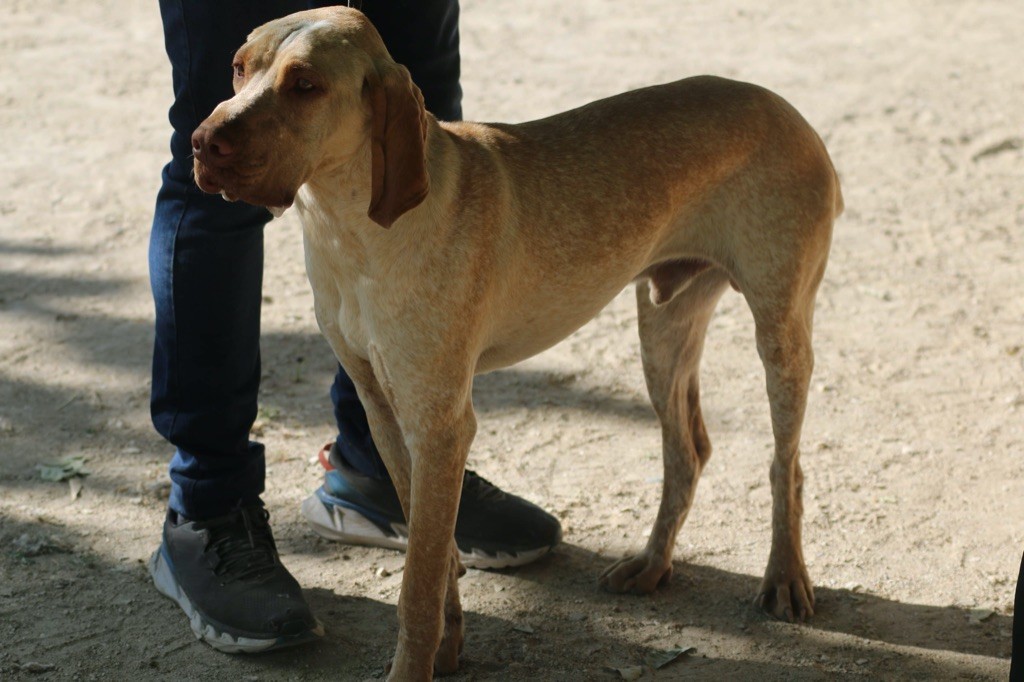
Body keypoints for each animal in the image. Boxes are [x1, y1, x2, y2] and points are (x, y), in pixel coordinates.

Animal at [190, 6, 839, 679]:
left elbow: (419, 583)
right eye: (238, 67)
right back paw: (652, 564)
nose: (202, 142)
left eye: (306, 85)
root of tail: (781, 106)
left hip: (780, 336)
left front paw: (414, 663)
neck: (351, 233)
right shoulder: (386, 414)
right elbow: (433, 556)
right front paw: (447, 647)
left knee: (785, 465)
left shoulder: (441, 425)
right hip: (663, 333)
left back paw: (784, 577)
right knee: (688, 450)